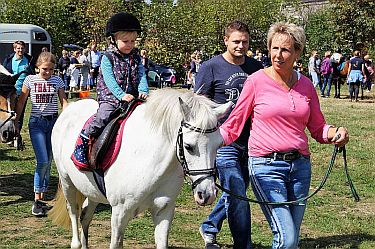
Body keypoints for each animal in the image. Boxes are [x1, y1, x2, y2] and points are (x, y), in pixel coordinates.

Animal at [49, 89, 232, 249]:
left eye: (219, 145)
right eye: (188, 146)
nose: (207, 194)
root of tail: (69, 108)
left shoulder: (164, 210)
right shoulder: (119, 213)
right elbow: (115, 244)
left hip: (92, 191)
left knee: (85, 216)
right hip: (67, 182)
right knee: (73, 211)